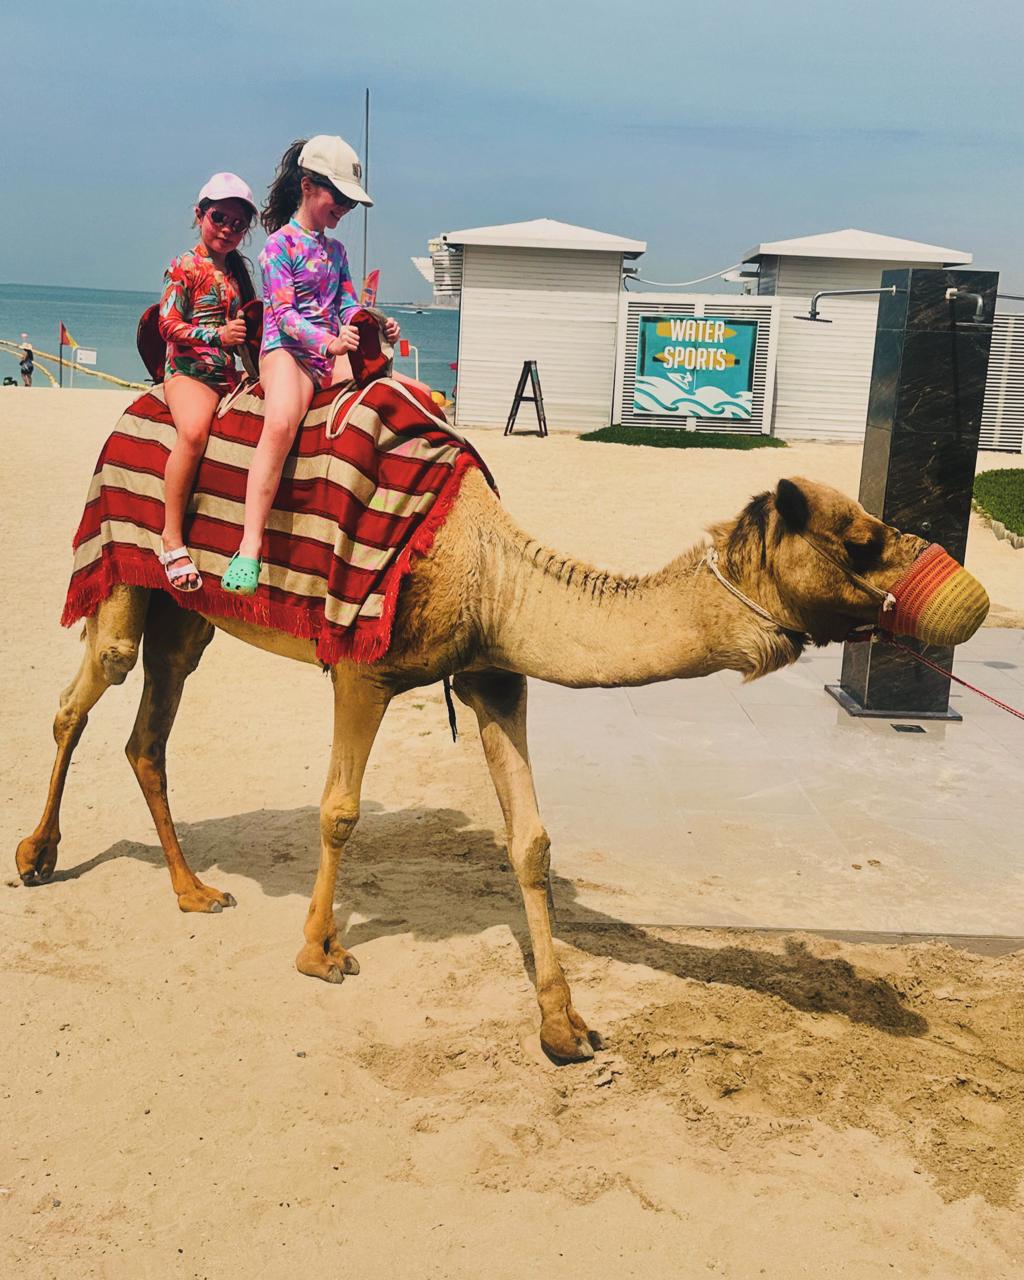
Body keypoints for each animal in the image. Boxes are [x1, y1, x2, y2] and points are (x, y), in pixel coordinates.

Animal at [17, 470, 941, 1061]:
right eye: (860, 540)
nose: (941, 573)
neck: (492, 575)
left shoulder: (495, 673)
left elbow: (530, 841)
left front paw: (566, 1030)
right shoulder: (364, 671)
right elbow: (340, 810)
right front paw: (320, 951)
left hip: (191, 611)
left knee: (148, 734)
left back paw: (194, 891)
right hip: (128, 570)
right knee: (84, 691)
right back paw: (37, 857)